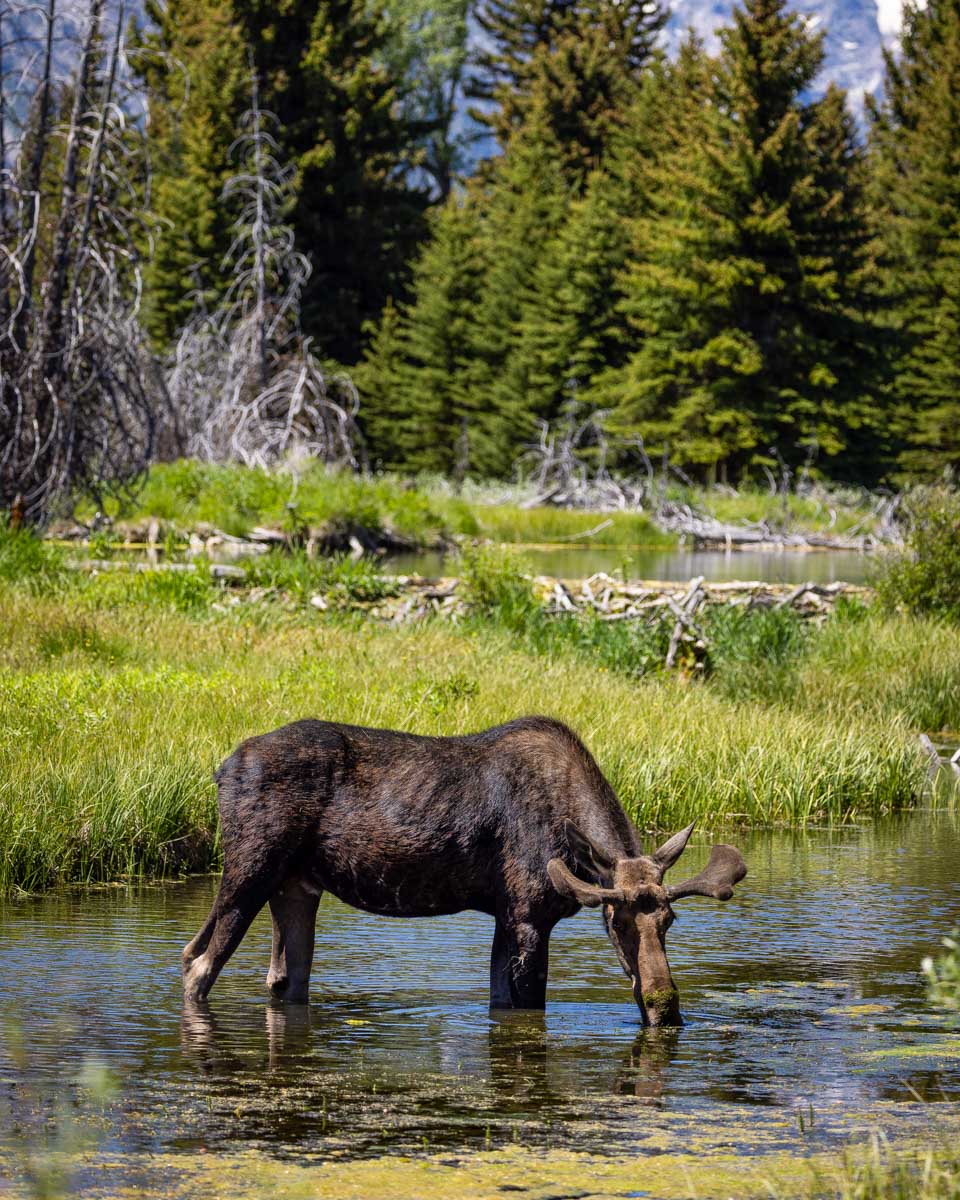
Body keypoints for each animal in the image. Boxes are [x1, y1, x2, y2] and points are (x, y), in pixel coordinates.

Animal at [182, 716, 747, 1026]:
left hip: (296, 886)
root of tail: (220, 769)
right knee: (196, 964)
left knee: (280, 978)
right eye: (616, 922)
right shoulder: (526, 915)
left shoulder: (506, 916)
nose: (663, 1006)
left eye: (670, 921)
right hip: (250, 868)